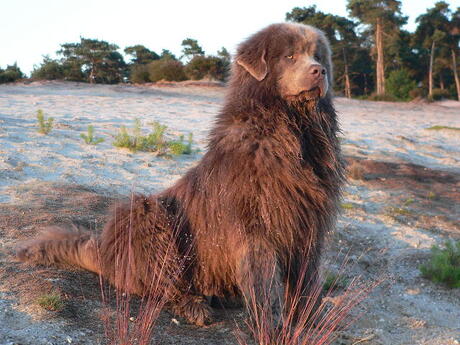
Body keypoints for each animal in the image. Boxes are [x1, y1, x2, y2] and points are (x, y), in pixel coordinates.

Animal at [16, 23, 344, 326]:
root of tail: (105, 251)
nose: (319, 71)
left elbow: (306, 283)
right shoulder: (256, 227)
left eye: (317, 56)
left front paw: (309, 323)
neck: (293, 130)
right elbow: (264, 287)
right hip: (147, 213)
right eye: (290, 56)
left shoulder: (309, 225)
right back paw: (194, 306)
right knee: (163, 284)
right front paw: (271, 328)